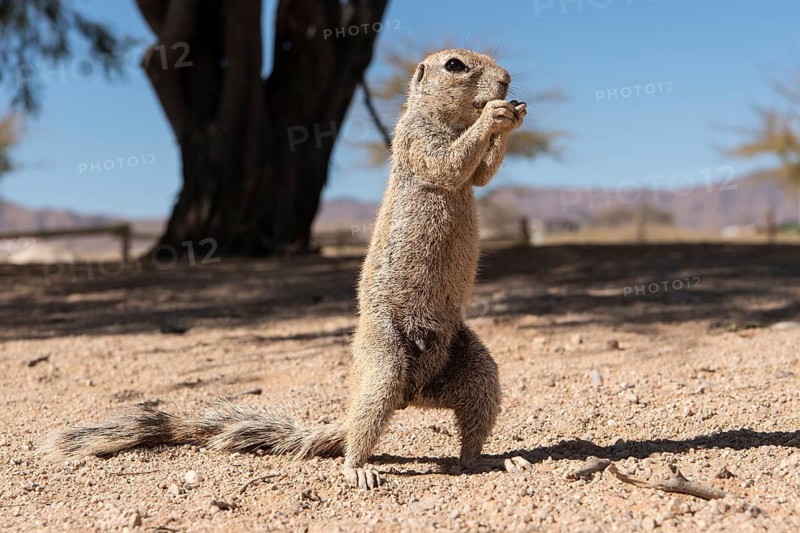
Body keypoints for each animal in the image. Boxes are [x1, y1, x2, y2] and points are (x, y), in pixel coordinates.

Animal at [44, 49, 532, 489]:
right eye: (454, 65)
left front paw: (514, 116)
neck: (447, 118)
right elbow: (448, 164)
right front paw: (494, 115)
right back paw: (358, 468)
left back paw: (494, 460)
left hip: (477, 371)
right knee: (364, 429)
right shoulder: (417, 139)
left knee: (467, 445)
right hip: (384, 362)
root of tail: (414, 396)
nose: (508, 79)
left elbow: (479, 176)